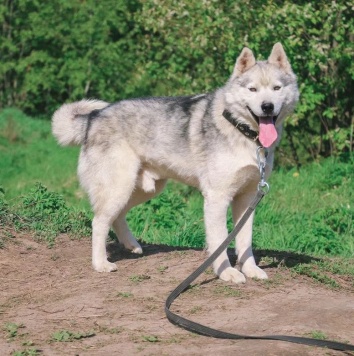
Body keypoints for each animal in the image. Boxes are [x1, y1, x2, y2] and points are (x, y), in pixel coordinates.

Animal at [51, 42, 298, 284]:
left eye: (277, 88)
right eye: (252, 89)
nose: (267, 107)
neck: (242, 132)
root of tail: (94, 118)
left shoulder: (247, 199)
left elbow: (245, 242)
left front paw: (250, 269)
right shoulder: (217, 199)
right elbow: (220, 242)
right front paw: (226, 272)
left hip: (143, 190)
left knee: (117, 217)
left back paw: (131, 245)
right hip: (119, 188)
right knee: (99, 222)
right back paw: (101, 263)